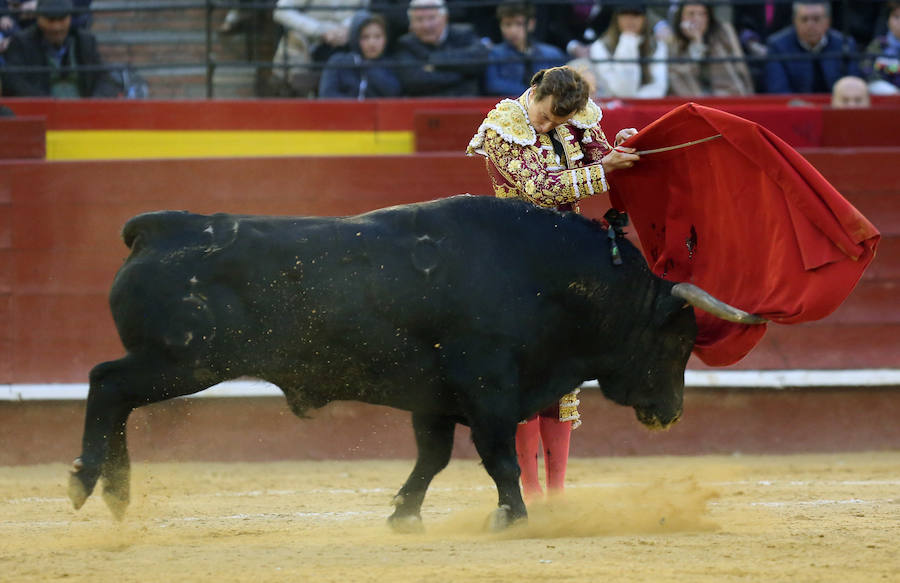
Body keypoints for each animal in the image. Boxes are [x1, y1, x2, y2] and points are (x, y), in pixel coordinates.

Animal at [67, 196, 764, 528]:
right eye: (676, 343)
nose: (671, 414)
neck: (547, 278)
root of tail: (157, 227)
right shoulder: (489, 391)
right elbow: (501, 458)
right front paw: (513, 518)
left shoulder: (435, 400)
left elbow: (432, 458)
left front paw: (403, 516)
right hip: (181, 361)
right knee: (107, 385)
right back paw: (90, 484)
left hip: (176, 363)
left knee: (114, 395)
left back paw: (116, 495)